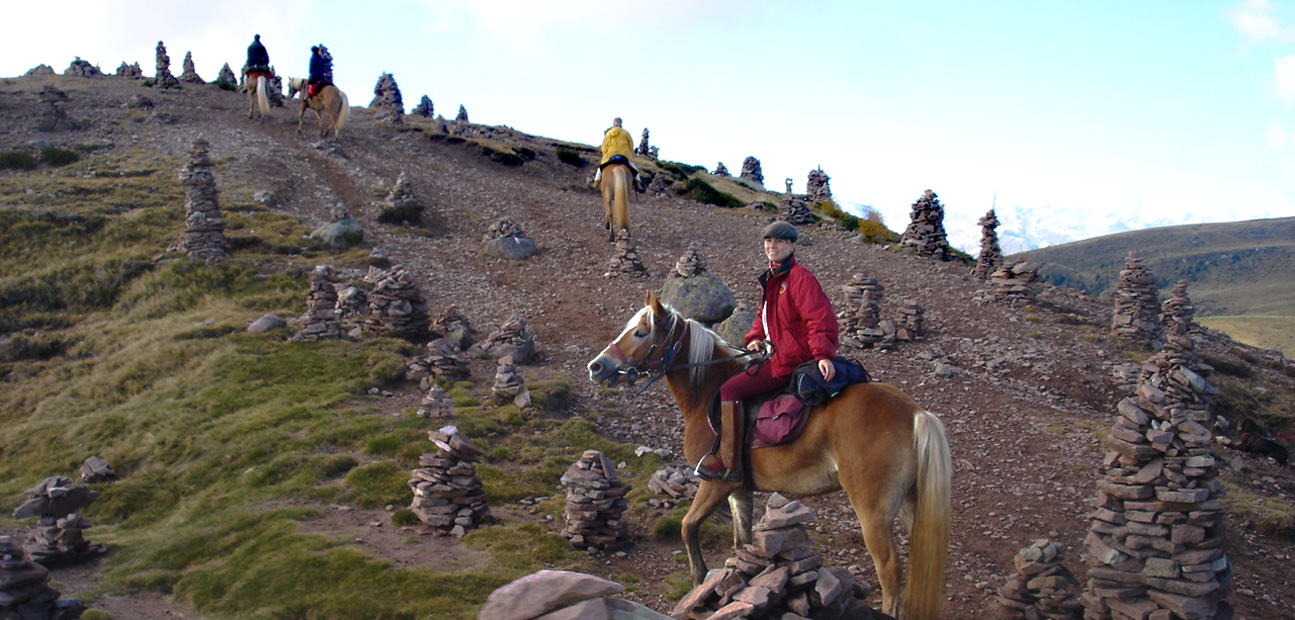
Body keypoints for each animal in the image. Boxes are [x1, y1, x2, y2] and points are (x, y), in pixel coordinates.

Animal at [587, 292, 953, 620]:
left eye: (641, 332)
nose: (596, 366)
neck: (708, 389)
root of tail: (916, 414)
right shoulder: (738, 490)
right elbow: (742, 543)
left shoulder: (715, 482)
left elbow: (688, 527)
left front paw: (698, 581)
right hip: (910, 503)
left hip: (872, 510)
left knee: (889, 571)